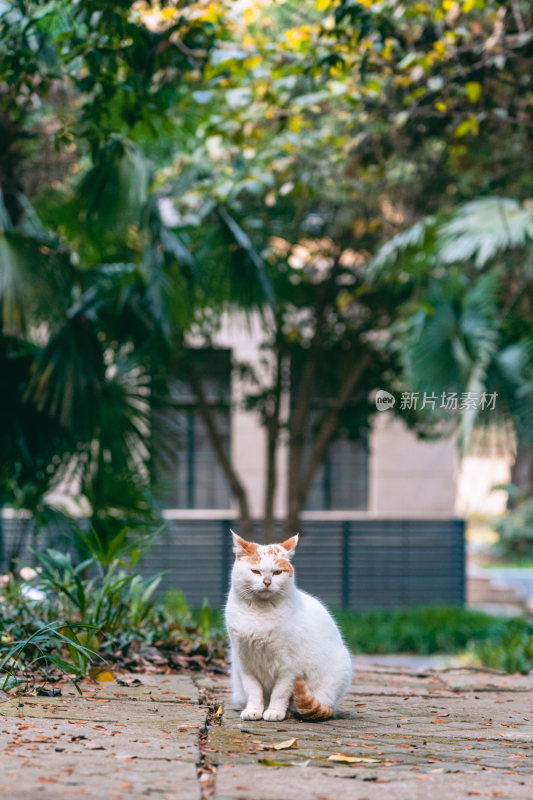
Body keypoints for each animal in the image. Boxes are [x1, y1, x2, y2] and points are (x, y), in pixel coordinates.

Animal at [222, 532, 352, 724]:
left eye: (277, 572)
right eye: (256, 571)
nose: (267, 582)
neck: (260, 613)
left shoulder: (289, 668)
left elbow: (280, 693)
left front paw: (274, 711)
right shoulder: (245, 663)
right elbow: (254, 690)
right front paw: (254, 710)